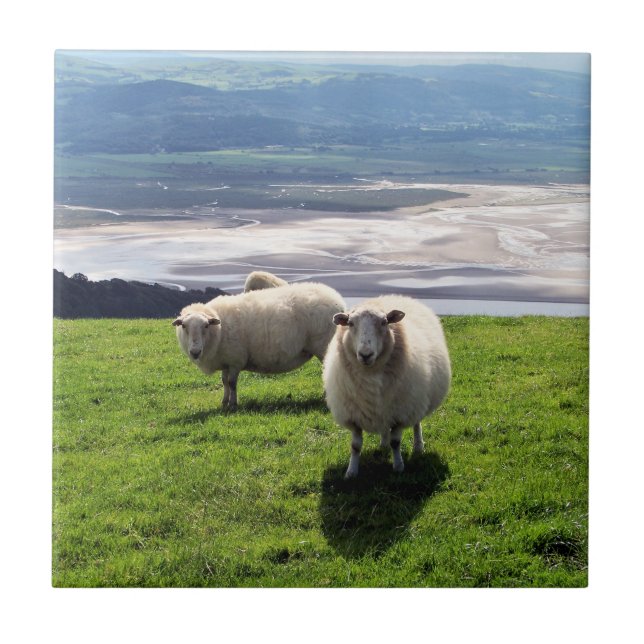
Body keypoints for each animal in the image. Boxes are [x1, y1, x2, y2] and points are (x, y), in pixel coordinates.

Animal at [173, 282, 345, 410]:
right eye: (184, 326)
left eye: (206, 326)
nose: (195, 352)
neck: (219, 331)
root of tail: (336, 299)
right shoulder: (226, 360)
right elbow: (224, 382)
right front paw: (224, 402)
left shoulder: (236, 360)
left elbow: (232, 383)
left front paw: (233, 405)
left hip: (323, 346)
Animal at [322, 295, 451, 478]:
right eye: (350, 323)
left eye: (384, 322)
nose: (365, 354)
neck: (370, 374)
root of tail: (394, 296)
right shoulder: (353, 416)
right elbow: (355, 446)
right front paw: (351, 472)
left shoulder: (400, 413)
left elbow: (396, 442)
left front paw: (398, 466)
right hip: (384, 407)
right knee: (384, 427)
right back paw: (383, 444)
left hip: (415, 400)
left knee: (416, 423)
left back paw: (418, 446)